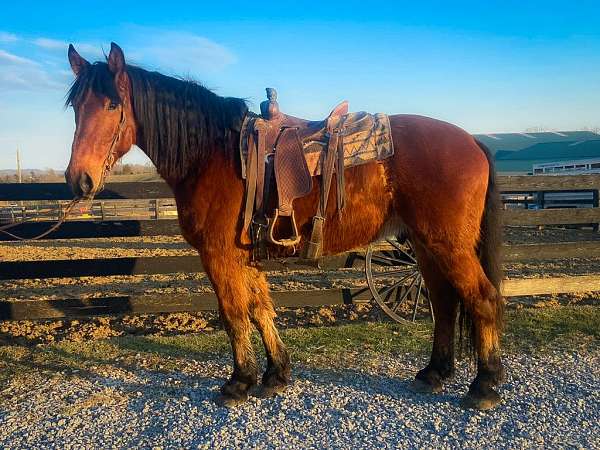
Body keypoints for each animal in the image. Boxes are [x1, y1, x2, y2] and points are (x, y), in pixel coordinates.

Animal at [67, 44, 506, 410]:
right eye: (75, 107)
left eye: (112, 105)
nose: (79, 179)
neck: (212, 154)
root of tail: (473, 141)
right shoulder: (245, 256)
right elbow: (261, 309)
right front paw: (275, 374)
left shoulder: (219, 255)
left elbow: (233, 314)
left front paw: (239, 382)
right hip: (426, 246)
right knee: (445, 303)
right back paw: (434, 373)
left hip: (447, 246)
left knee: (482, 298)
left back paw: (484, 385)